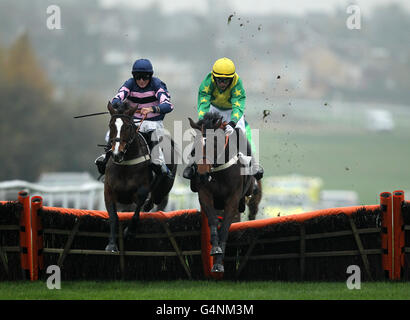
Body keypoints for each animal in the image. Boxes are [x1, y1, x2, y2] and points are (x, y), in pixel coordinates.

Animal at [102, 101, 176, 251]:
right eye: (111, 125)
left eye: (128, 126)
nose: (117, 153)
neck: (125, 165)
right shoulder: (109, 191)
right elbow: (113, 217)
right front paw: (111, 245)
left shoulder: (141, 191)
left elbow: (136, 213)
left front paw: (129, 232)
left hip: (162, 192)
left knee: (154, 201)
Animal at [189, 112, 262, 272]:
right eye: (195, 144)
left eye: (215, 142)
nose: (202, 174)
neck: (219, 169)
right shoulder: (205, 195)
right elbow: (213, 221)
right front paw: (215, 248)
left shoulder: (233, 199)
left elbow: (224, 229)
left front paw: (218, 263)